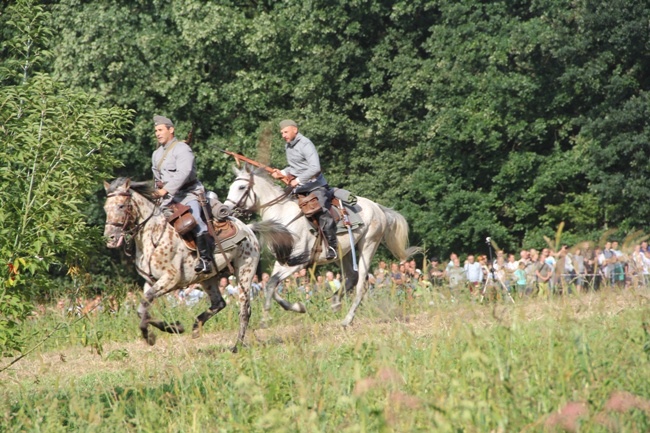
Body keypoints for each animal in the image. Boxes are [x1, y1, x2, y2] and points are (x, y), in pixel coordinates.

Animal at [103, 177, 294, 350]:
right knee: (219, 303)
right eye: (106, 208)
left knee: (244, 310)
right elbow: (142, 309)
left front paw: (155, 334)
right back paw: (196, 326)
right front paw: (171, 328)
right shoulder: (151, 282)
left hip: (244, 275)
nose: (110, 238)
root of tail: (249, 229)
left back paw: (236, 346)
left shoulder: (170, 279)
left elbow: (143, 308)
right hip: (207, 279)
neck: (154, 235)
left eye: (121, 206)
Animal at [225, 165, 420, 324]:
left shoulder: (299, 262)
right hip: (344, 252)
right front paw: (297, 307)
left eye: (241, 187)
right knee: (352, 277)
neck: (282, 217)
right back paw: (335, 303)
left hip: (368, 245)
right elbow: (271, 286)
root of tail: (377, 206)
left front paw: (267, 318)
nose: (225, 209)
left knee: (361, 286)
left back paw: (347, 319)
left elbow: (272, 284)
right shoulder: (282, 262)